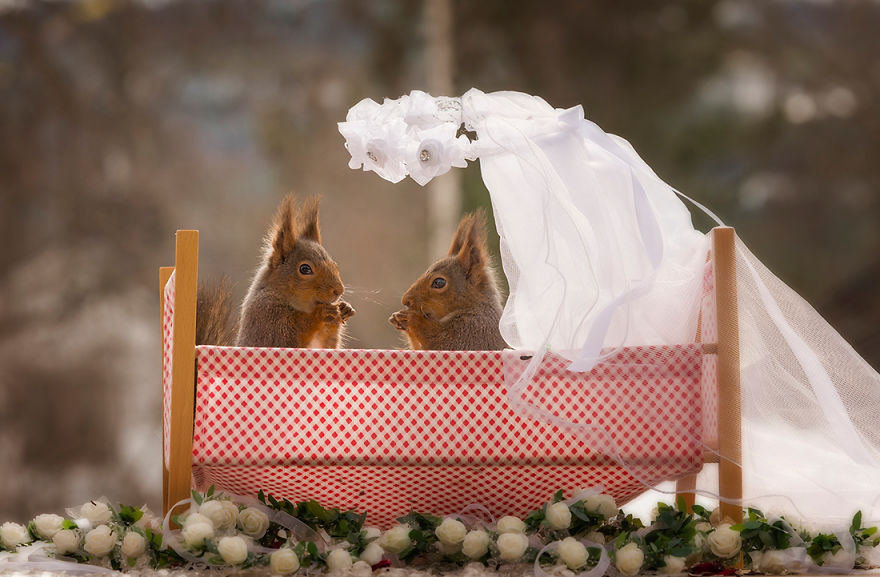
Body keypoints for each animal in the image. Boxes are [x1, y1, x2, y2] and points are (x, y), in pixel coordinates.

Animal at [389, 208, 507, 351]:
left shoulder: (474, 330)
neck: (473, 306)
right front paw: (396, 318)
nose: (406, 300)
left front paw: (412, 319)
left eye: (439, 282)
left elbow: (442, 344)